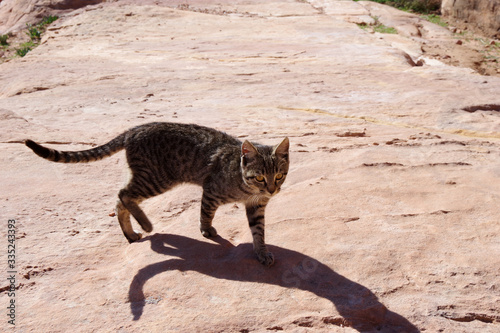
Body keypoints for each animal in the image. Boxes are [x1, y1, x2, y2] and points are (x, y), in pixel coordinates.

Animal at [25, 121, 290, 264]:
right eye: (259, 176)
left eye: (279, 175)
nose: (272, 190)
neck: (246, 187)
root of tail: (133, 130)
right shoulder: (211, 191)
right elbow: (206, 213)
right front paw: (206, 230)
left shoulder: (257, 206)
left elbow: (259, 231)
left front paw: (262, 252)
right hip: (157, 179)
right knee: (122, 194)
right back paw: (145, 224)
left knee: (120, 201)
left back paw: (131, 234)